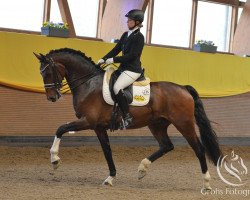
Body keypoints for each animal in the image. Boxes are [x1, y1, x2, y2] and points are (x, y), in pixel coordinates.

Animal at [33, 47, 223, 190]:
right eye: (41, 73)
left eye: (48, 72)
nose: (52, 97)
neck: (88, 84)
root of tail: (183, 88)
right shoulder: (98, 127)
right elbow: (107, 151)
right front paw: (110, 178)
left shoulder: (88, 121)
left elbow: (61, 128)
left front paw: (55, 160)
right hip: (157, 124)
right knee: (166, 146)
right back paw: (142, 169)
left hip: (184, 123)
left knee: (199, 149)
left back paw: (206, 184)